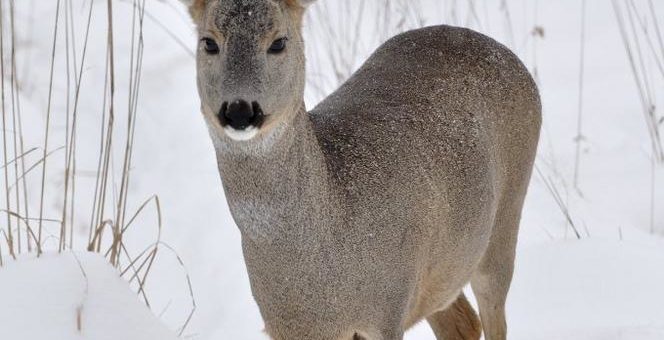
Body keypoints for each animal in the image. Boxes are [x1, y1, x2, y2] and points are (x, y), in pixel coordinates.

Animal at [182, 0, 540, 340]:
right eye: (208, 42)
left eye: (278, 42)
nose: (239, 110)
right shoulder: (288, 325)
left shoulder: (388, 307)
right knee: (463, 323)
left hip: (504, 222)